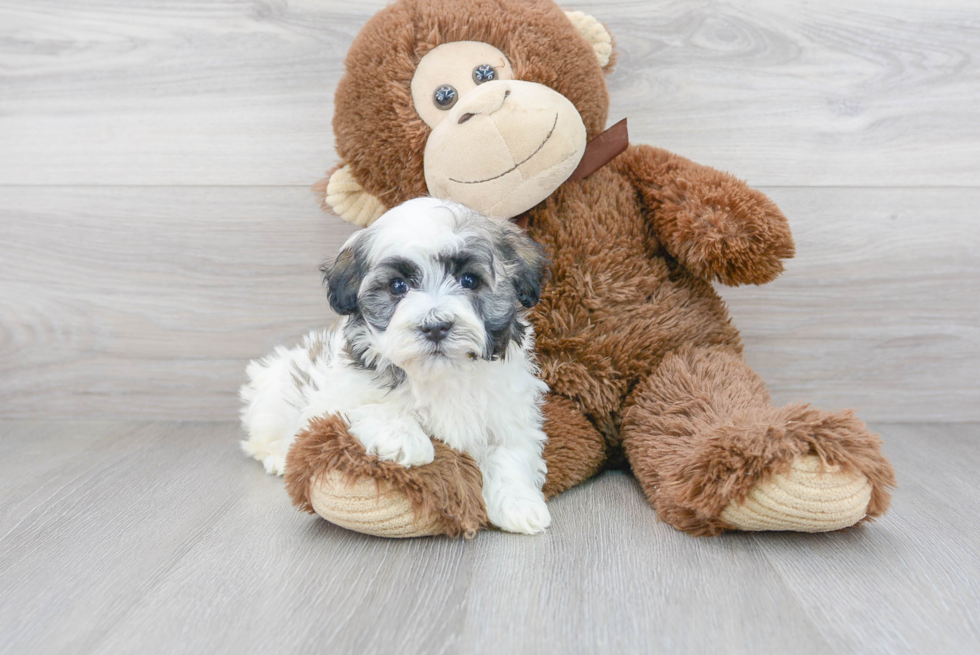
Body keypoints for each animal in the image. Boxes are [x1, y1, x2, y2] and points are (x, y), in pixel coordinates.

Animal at [240, 197, 552, 536]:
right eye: (398, 286)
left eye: (469, 280)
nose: (435, 326)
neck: (442, 374)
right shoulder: (337, 395)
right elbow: (369, 404)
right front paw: (405, 438)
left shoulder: (511, 412)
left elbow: (508, 454)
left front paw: (519, 504)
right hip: (276, 394)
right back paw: (276, 457)